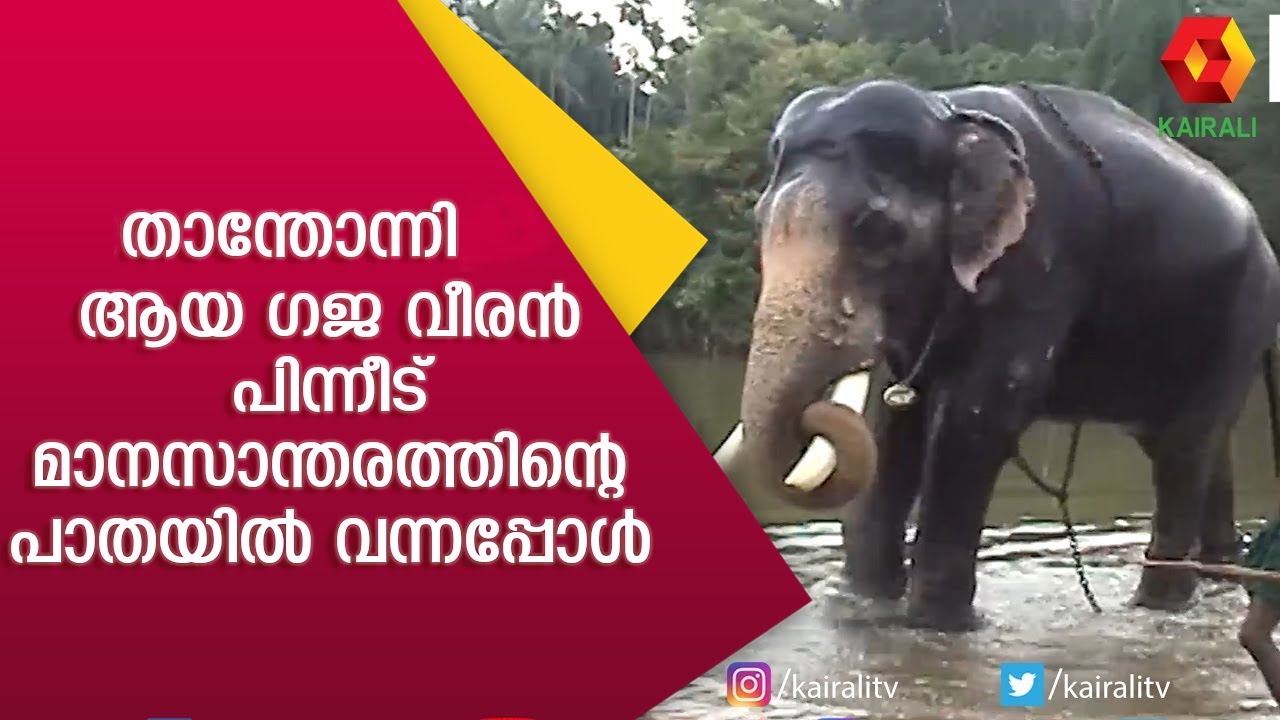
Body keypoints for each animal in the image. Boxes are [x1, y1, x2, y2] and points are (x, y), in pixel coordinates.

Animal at [713, 79, 1280, 630]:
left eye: (875, 231)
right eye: (759, 222)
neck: (947, 111)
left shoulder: (1041, 261)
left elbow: (978, 414)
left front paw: (936, 625)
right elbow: (898, 424)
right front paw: (864, 608)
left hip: (1243, 311)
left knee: (1185, 450)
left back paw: (1157, 609)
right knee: (1202, 450)